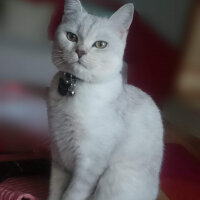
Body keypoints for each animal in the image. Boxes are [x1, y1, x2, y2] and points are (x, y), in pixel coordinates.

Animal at [47, 0, 163, 200]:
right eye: (71, 37)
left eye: (100, 44)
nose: (80, 51)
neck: (76, 87)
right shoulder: (58, 156)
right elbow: (54, 192)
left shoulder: (89, 164)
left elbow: (71, 194)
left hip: (113, 178)